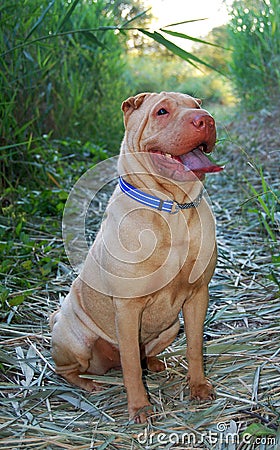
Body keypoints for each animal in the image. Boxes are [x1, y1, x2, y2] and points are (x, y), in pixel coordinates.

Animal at [49, 90, 222, 422]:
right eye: (162, 111)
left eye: (198, 106)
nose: (206, 119)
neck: (173, 208)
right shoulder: (128, 309)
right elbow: (130, 364)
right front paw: (140, 407)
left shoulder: (198, 296)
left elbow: (195, 347)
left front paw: (198, 387)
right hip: (74, 338)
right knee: (68, 369)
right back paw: (89, 384)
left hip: (170, 327)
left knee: (144, 354)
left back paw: (153, 364)